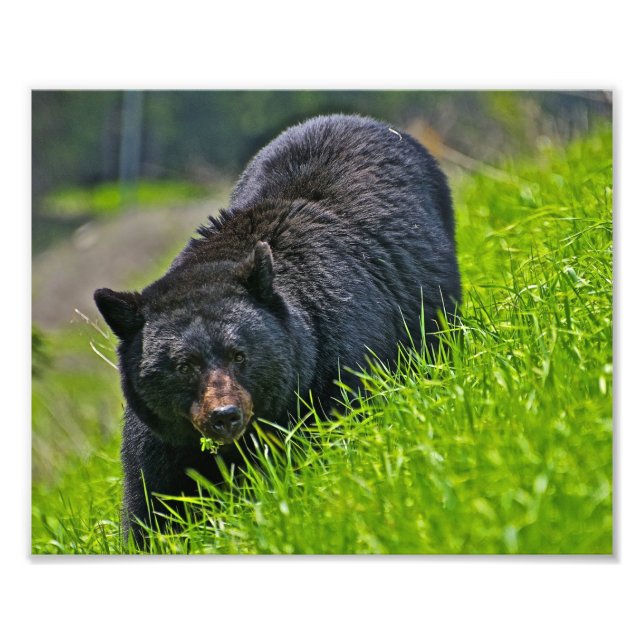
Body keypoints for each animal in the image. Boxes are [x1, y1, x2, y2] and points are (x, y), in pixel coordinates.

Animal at [94, 114, 461, 545]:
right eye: (183, 366)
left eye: (240, 355)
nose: (224, 416)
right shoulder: (162, 437)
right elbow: (153, 501)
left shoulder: (334, 367)